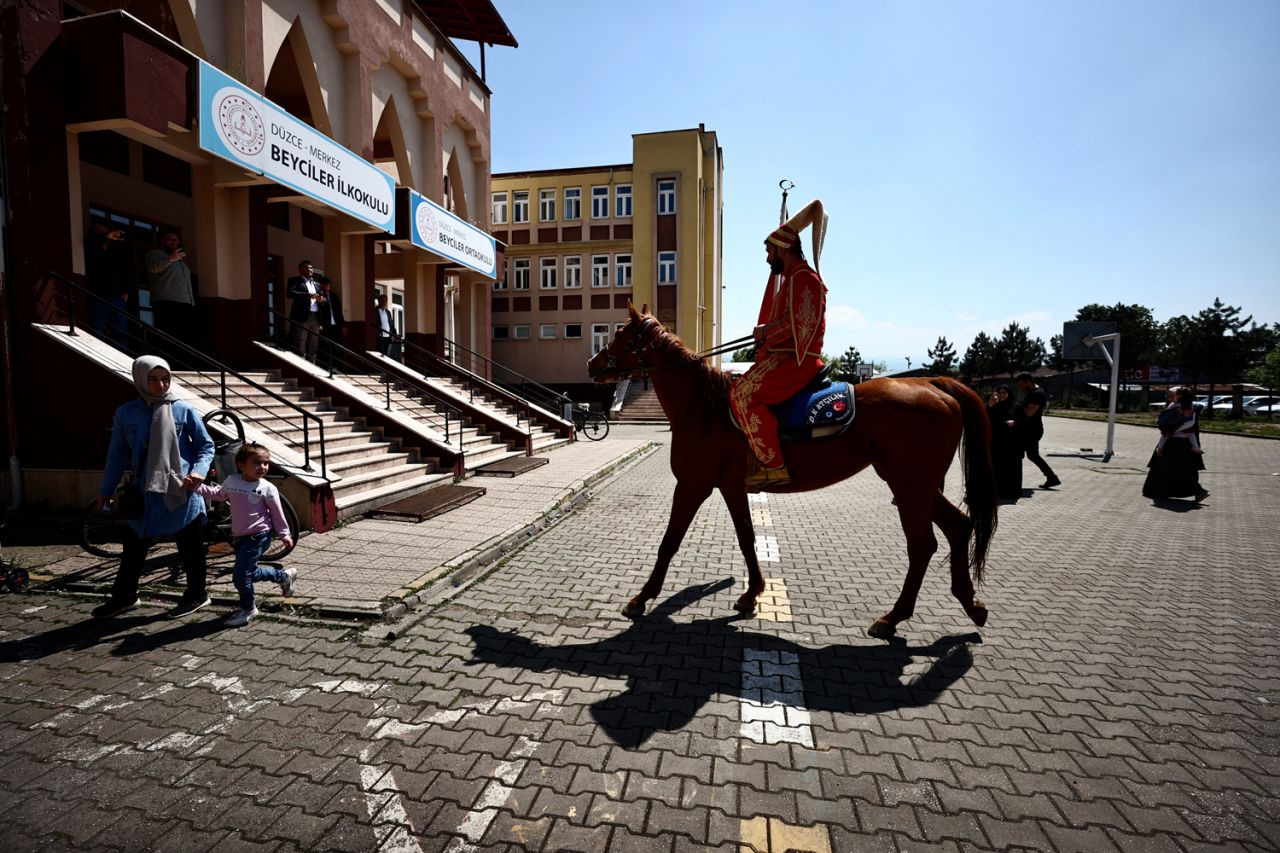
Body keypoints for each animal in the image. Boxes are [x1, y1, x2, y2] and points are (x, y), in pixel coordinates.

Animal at [588, 302, 998, 635]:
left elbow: (669, 542)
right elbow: (747, 539)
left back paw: (893, 617)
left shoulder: (692, 485)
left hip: (910, 487)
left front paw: (641, 598)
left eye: (621, 335)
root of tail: (934, 383)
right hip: (919, 486)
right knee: (959, 528)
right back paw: (971, 604)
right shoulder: (731, 488)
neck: (704, 408)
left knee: (923, 545)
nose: (593, 364)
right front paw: (751, 594)